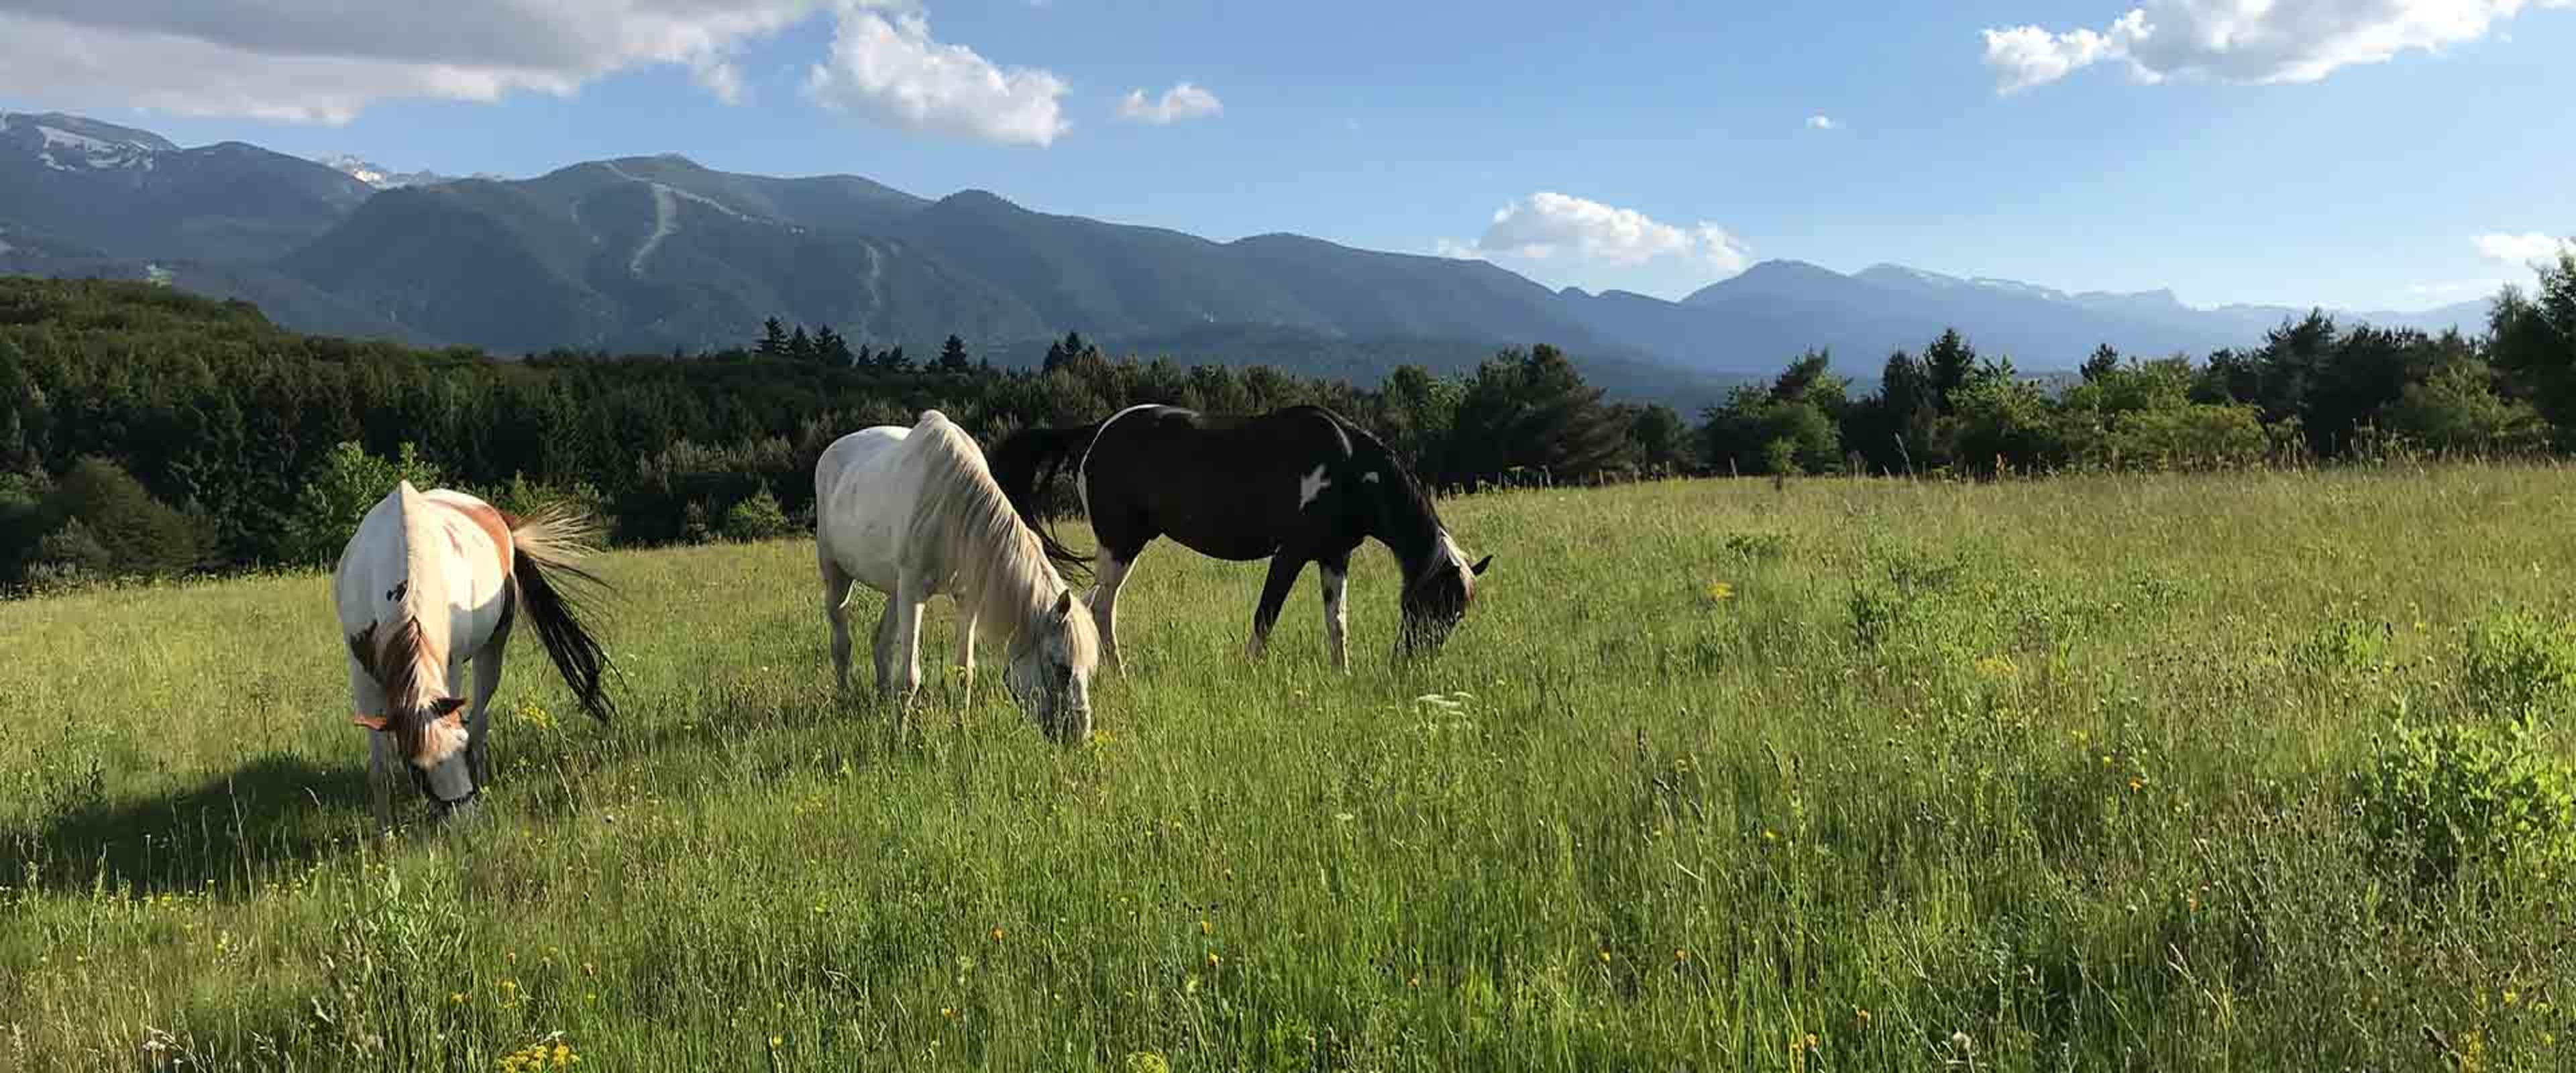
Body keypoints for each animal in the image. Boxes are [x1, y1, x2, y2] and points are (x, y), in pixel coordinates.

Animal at [332, 482, 616, 830]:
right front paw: (384, 830)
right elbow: (380, 766)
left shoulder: (450, 667)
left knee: (481, 717)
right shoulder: (363, 677)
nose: (463, 820)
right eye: (417, 768)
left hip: (492, 650)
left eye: (460, 743)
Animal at [813, 409, 1099, 743]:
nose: (1078, 737)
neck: (952, 509)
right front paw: (900, 739)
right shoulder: (913, 593)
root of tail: (832, 451)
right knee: (841, 643)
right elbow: (909, 676)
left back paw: (883, 703)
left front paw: (961, 728)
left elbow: (965, 671)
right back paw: (845, 699)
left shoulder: (967, 598)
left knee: (881, 644)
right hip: (837, 575)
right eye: (1060, 667)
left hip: (895, 590)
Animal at [989, 403, 1490, 673]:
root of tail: (1096, 431)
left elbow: (1337, 621)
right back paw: (1120, 674)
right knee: (1100, 607)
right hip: (1120, 544)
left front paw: (1342, 672)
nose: (1412, 664)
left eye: (1456, 615)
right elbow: (1266, 615)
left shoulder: (1334, 556)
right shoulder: (1291, 553)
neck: (1348, 468)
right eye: (1430, 605)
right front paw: (1250, 669)